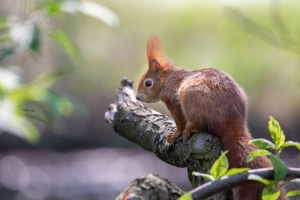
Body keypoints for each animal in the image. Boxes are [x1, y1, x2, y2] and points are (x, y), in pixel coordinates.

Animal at [136, 36, 286, 200]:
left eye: (148, 83)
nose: (137, 97)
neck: (168, 78)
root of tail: (232, 121)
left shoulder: (173, 99)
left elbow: (180, 120)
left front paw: (175, 134)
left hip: (190, 94)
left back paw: (190, 129)